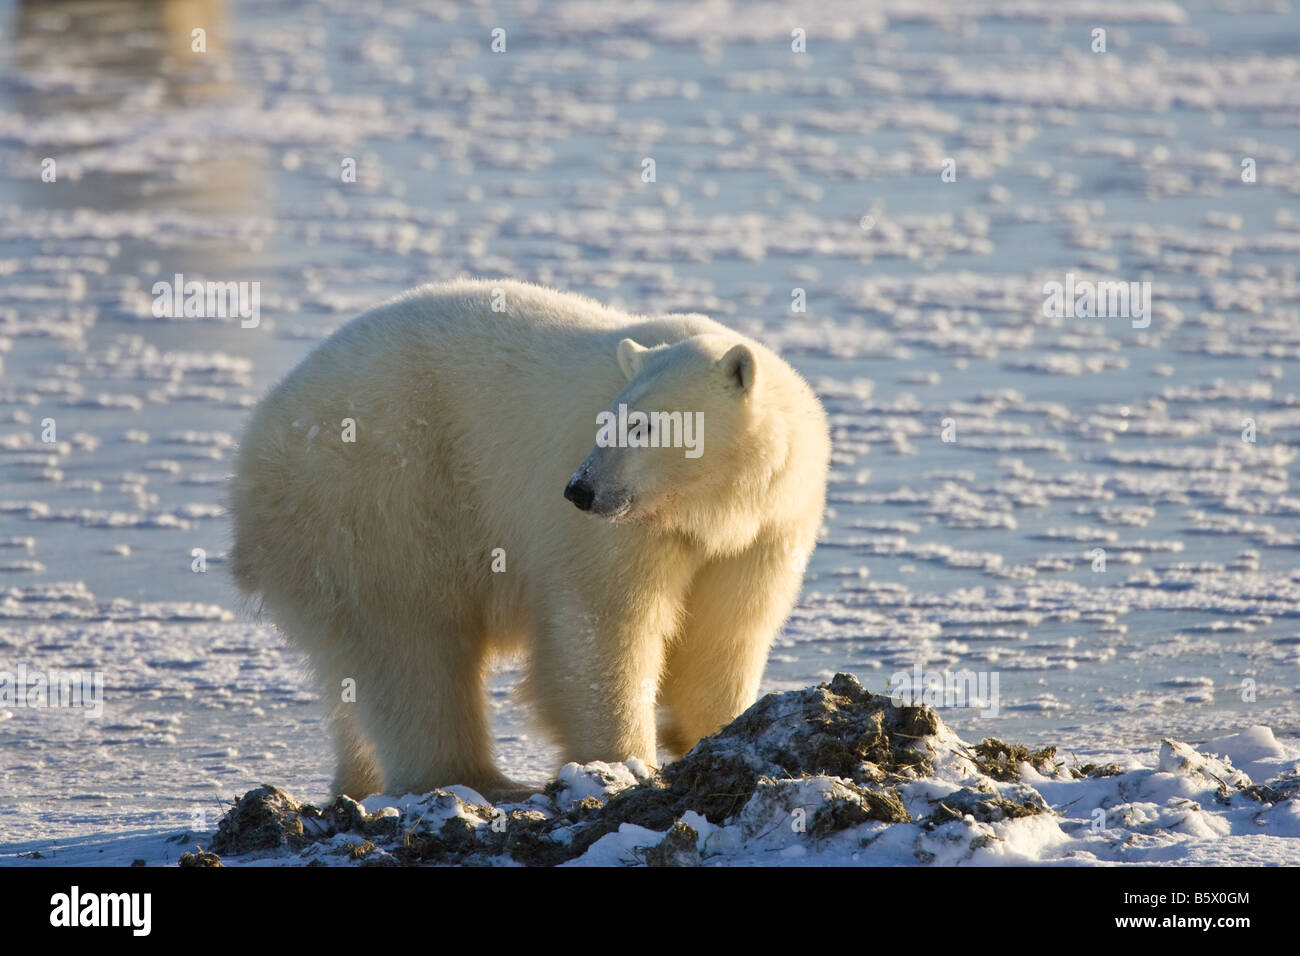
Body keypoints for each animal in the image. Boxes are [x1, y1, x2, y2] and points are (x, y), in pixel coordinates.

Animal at [228, 278, 826, 801]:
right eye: (607, 421)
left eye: (645, 426)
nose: (580, 490)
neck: (709, 505)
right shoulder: (617, 534)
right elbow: (603, 624)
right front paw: (626, 763)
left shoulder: (765, 526)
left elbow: (727, 628)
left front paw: (719, 733)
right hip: (379, 496)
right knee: (410, 644)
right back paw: (476, 779)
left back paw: (359, 781)